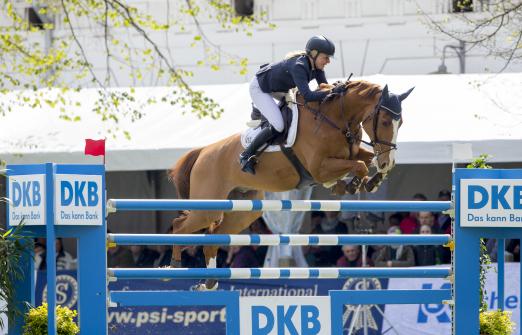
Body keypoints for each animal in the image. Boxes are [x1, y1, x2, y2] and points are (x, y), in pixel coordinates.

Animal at [169, 79, 412, 292]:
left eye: (400, 123)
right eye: (385, 121)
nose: (387, 160)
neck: (335, 117)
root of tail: (202, 151)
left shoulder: (349, 153)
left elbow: (366, 159)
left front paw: (374, 178)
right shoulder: (319, 167)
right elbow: (359, 165)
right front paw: (348, 185)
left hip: (243, 210)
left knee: (213, 237)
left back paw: (209, 282)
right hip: (208, 207)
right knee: (179, 226)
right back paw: (173, 266)